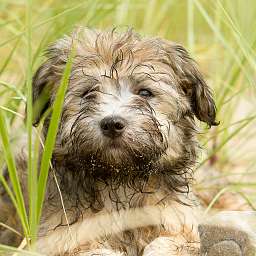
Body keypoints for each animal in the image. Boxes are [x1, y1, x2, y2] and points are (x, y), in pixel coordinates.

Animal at [0, 27, 217, 255]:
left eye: (145, 92)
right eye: (87, 93)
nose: (112, 123)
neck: (119, 179)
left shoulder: (177, 222)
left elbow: (171, 241)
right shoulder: (63, 237)